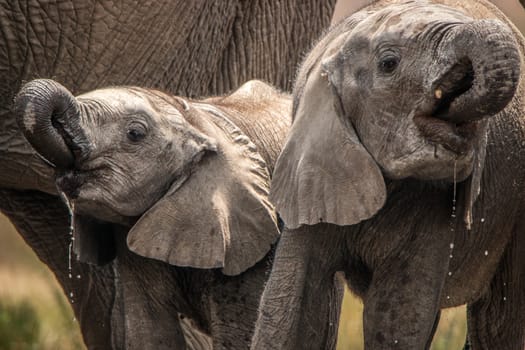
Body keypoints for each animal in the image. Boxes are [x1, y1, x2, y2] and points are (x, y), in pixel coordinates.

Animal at [252, 0, 520, 350]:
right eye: (389, 64)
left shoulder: (432, 202)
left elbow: (394, 313)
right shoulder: (310, 174)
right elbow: (290, 307)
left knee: (501, 320)